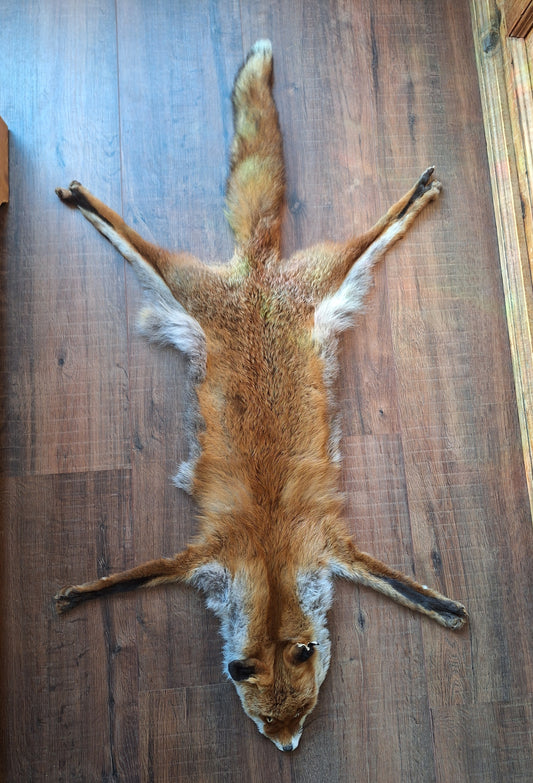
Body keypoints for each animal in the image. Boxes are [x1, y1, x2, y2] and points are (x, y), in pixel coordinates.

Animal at [54, 40, 467, 752]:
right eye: (266, 721)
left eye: (300, 713)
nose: (288, 749)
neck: (272, 556)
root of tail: (259, 277)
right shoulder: (208, 552)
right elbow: (129, 577)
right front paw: (86, 593)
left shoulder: (328, 547)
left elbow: (404, 587)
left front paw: (442, 606)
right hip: (189, 289)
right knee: (135, 240)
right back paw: (87, 200)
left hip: (310, 280)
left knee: (376, 230)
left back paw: (415, 193)